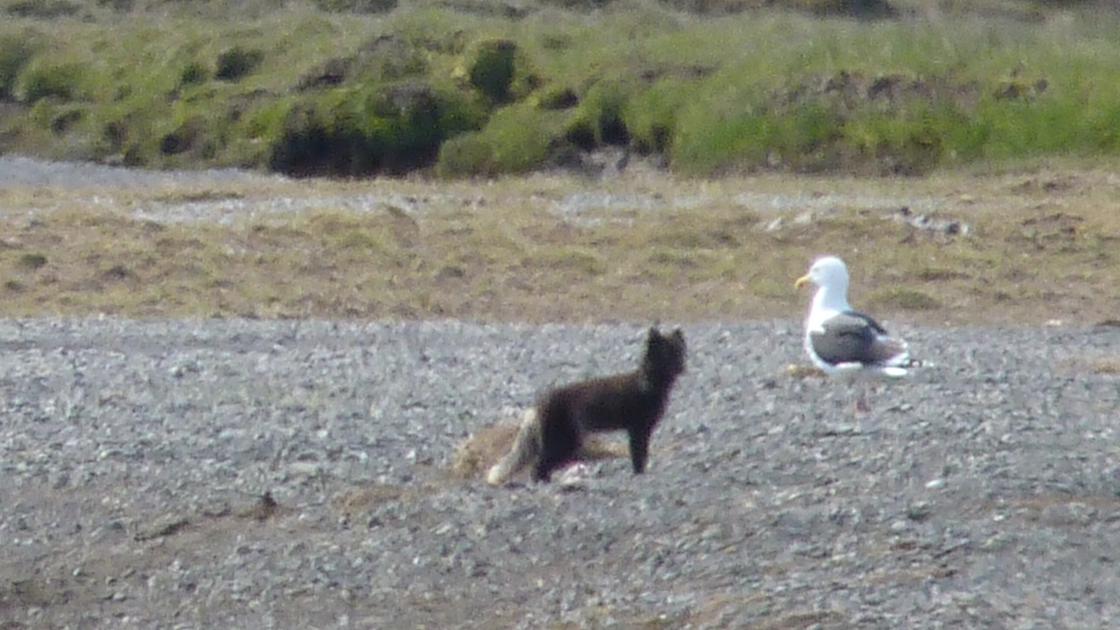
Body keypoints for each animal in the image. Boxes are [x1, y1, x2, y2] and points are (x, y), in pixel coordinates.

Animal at [486, 327, 687, 485]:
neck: (647, 385)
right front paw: (640, 474)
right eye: (667, 355)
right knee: (538, 465)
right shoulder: (638, 428)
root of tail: (538, 404)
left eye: (680, 353)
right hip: (564, 441)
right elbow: (639, 455)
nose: (683, 368)